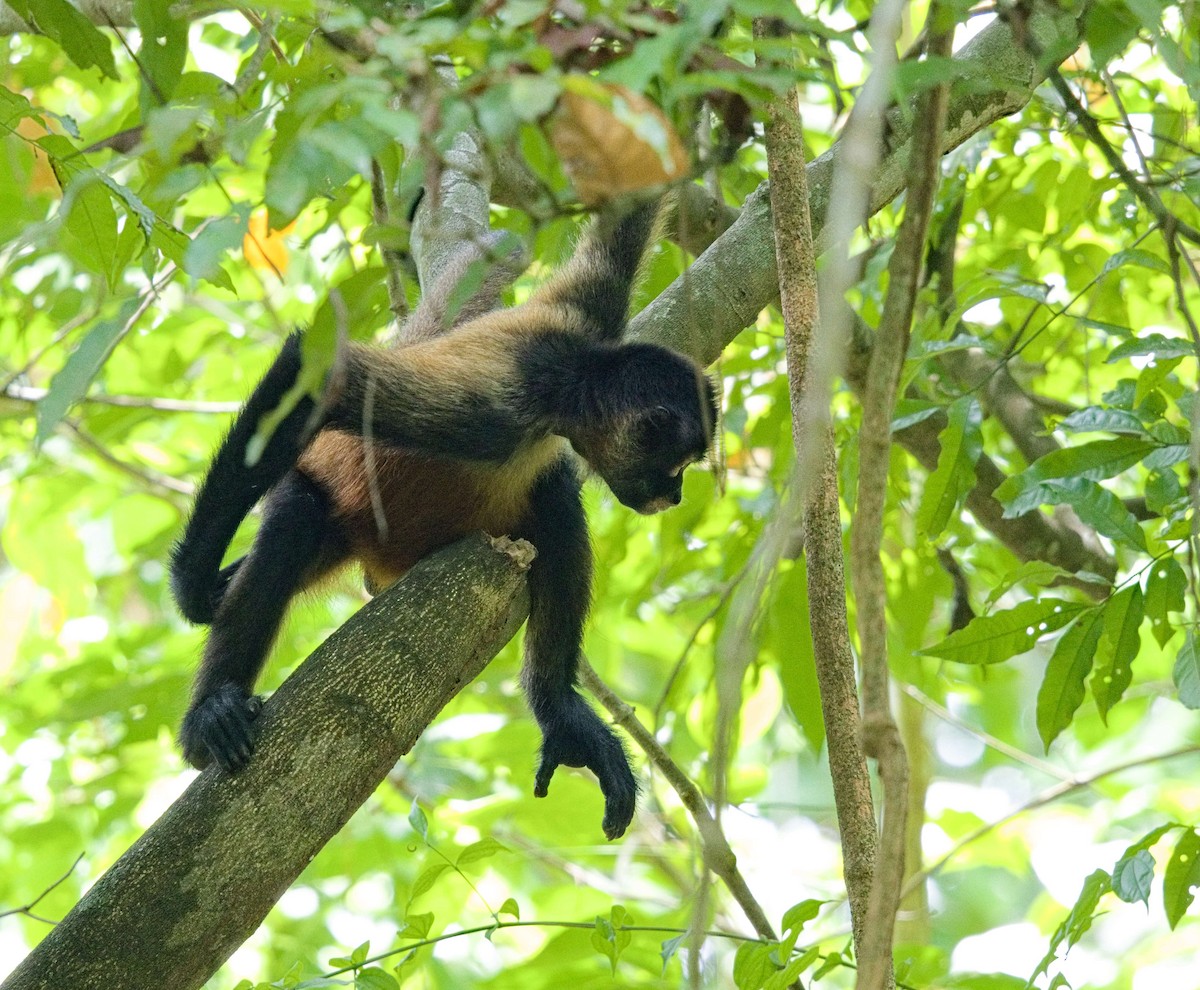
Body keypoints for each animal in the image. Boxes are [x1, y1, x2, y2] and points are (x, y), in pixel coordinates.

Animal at [169, 198, 718, 840]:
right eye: (675, 467)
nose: (674, 496)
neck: (569, 370)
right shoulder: (496, 406)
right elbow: (318, 377)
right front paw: (191, 589)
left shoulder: (585, 309)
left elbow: (623, 214)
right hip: (326, 502)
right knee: (295, 522)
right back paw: (208, 717)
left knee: (554, 495)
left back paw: (560, 713)